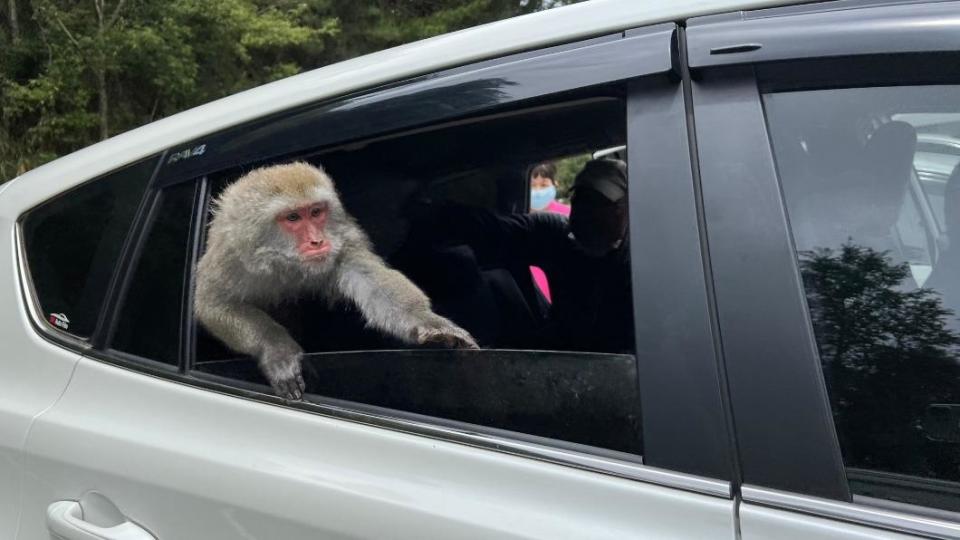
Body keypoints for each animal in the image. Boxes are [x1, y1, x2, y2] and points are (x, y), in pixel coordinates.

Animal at [195, 162, 480, 398]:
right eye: (293, 218)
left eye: (316, 212)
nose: (318, 241)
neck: (284, 263)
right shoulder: (230, 257)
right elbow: (213, 305)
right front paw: (277, 349)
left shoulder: (342, 243)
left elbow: (372, 284)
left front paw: (428, 322)